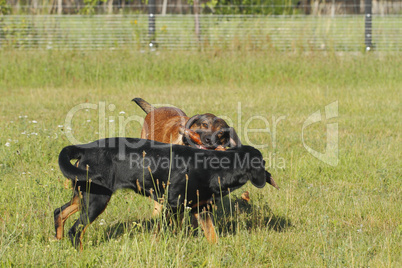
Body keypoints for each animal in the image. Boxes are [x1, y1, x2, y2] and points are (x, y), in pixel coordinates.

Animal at [54, 138, 280, 251]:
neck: (214, 167)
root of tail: (84, 149)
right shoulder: (173, 205)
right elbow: (169, 231)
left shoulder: (201, 209)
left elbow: (212, 236)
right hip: (97, 200)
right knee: (76, 230)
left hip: (83, 196)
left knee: (59, 212)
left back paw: (57, 240)